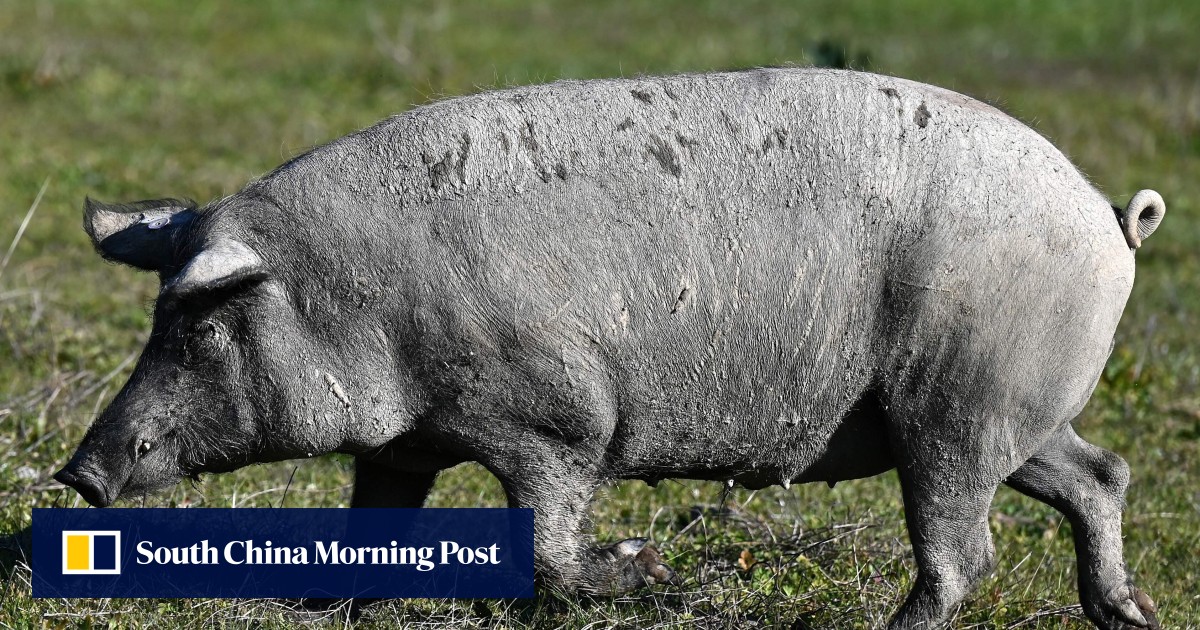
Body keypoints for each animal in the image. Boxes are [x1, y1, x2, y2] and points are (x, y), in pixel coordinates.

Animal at [54, 68, 1161, 628]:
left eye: (200, 323)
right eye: (157, 318)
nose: (79, 475)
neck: (363, 297)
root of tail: (1112, 217)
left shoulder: (559, 416)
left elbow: (548, 546)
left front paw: (644, 570)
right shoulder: (404, 443)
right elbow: (377, 518)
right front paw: (323, 604)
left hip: (960, 406)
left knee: (964, 553)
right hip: (1016, 413)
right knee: (1099, 474)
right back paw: (1131, 613)